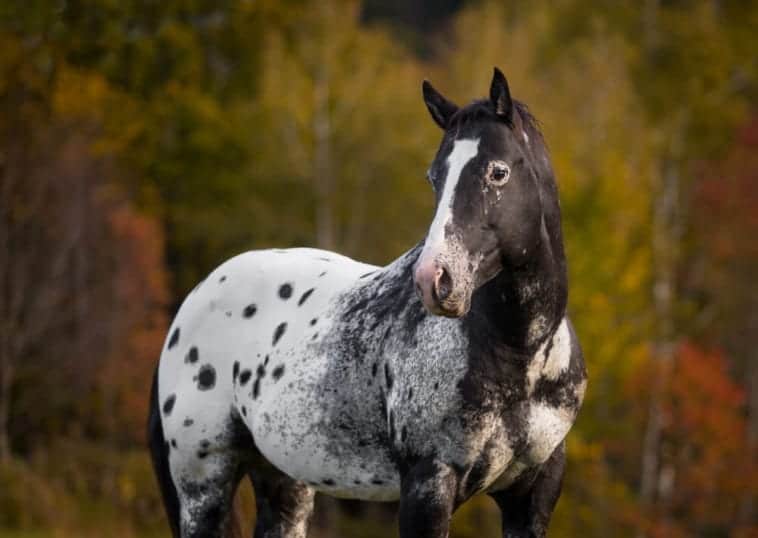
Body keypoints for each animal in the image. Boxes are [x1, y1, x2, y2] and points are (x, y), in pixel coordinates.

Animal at [148, 67, 587, 538]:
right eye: (434, 176)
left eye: (498, 172)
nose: (434, 280)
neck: (517, 352)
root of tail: (193, 302)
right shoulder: (427, 486)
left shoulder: (532, 496)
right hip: (203, 485)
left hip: (285, 484)